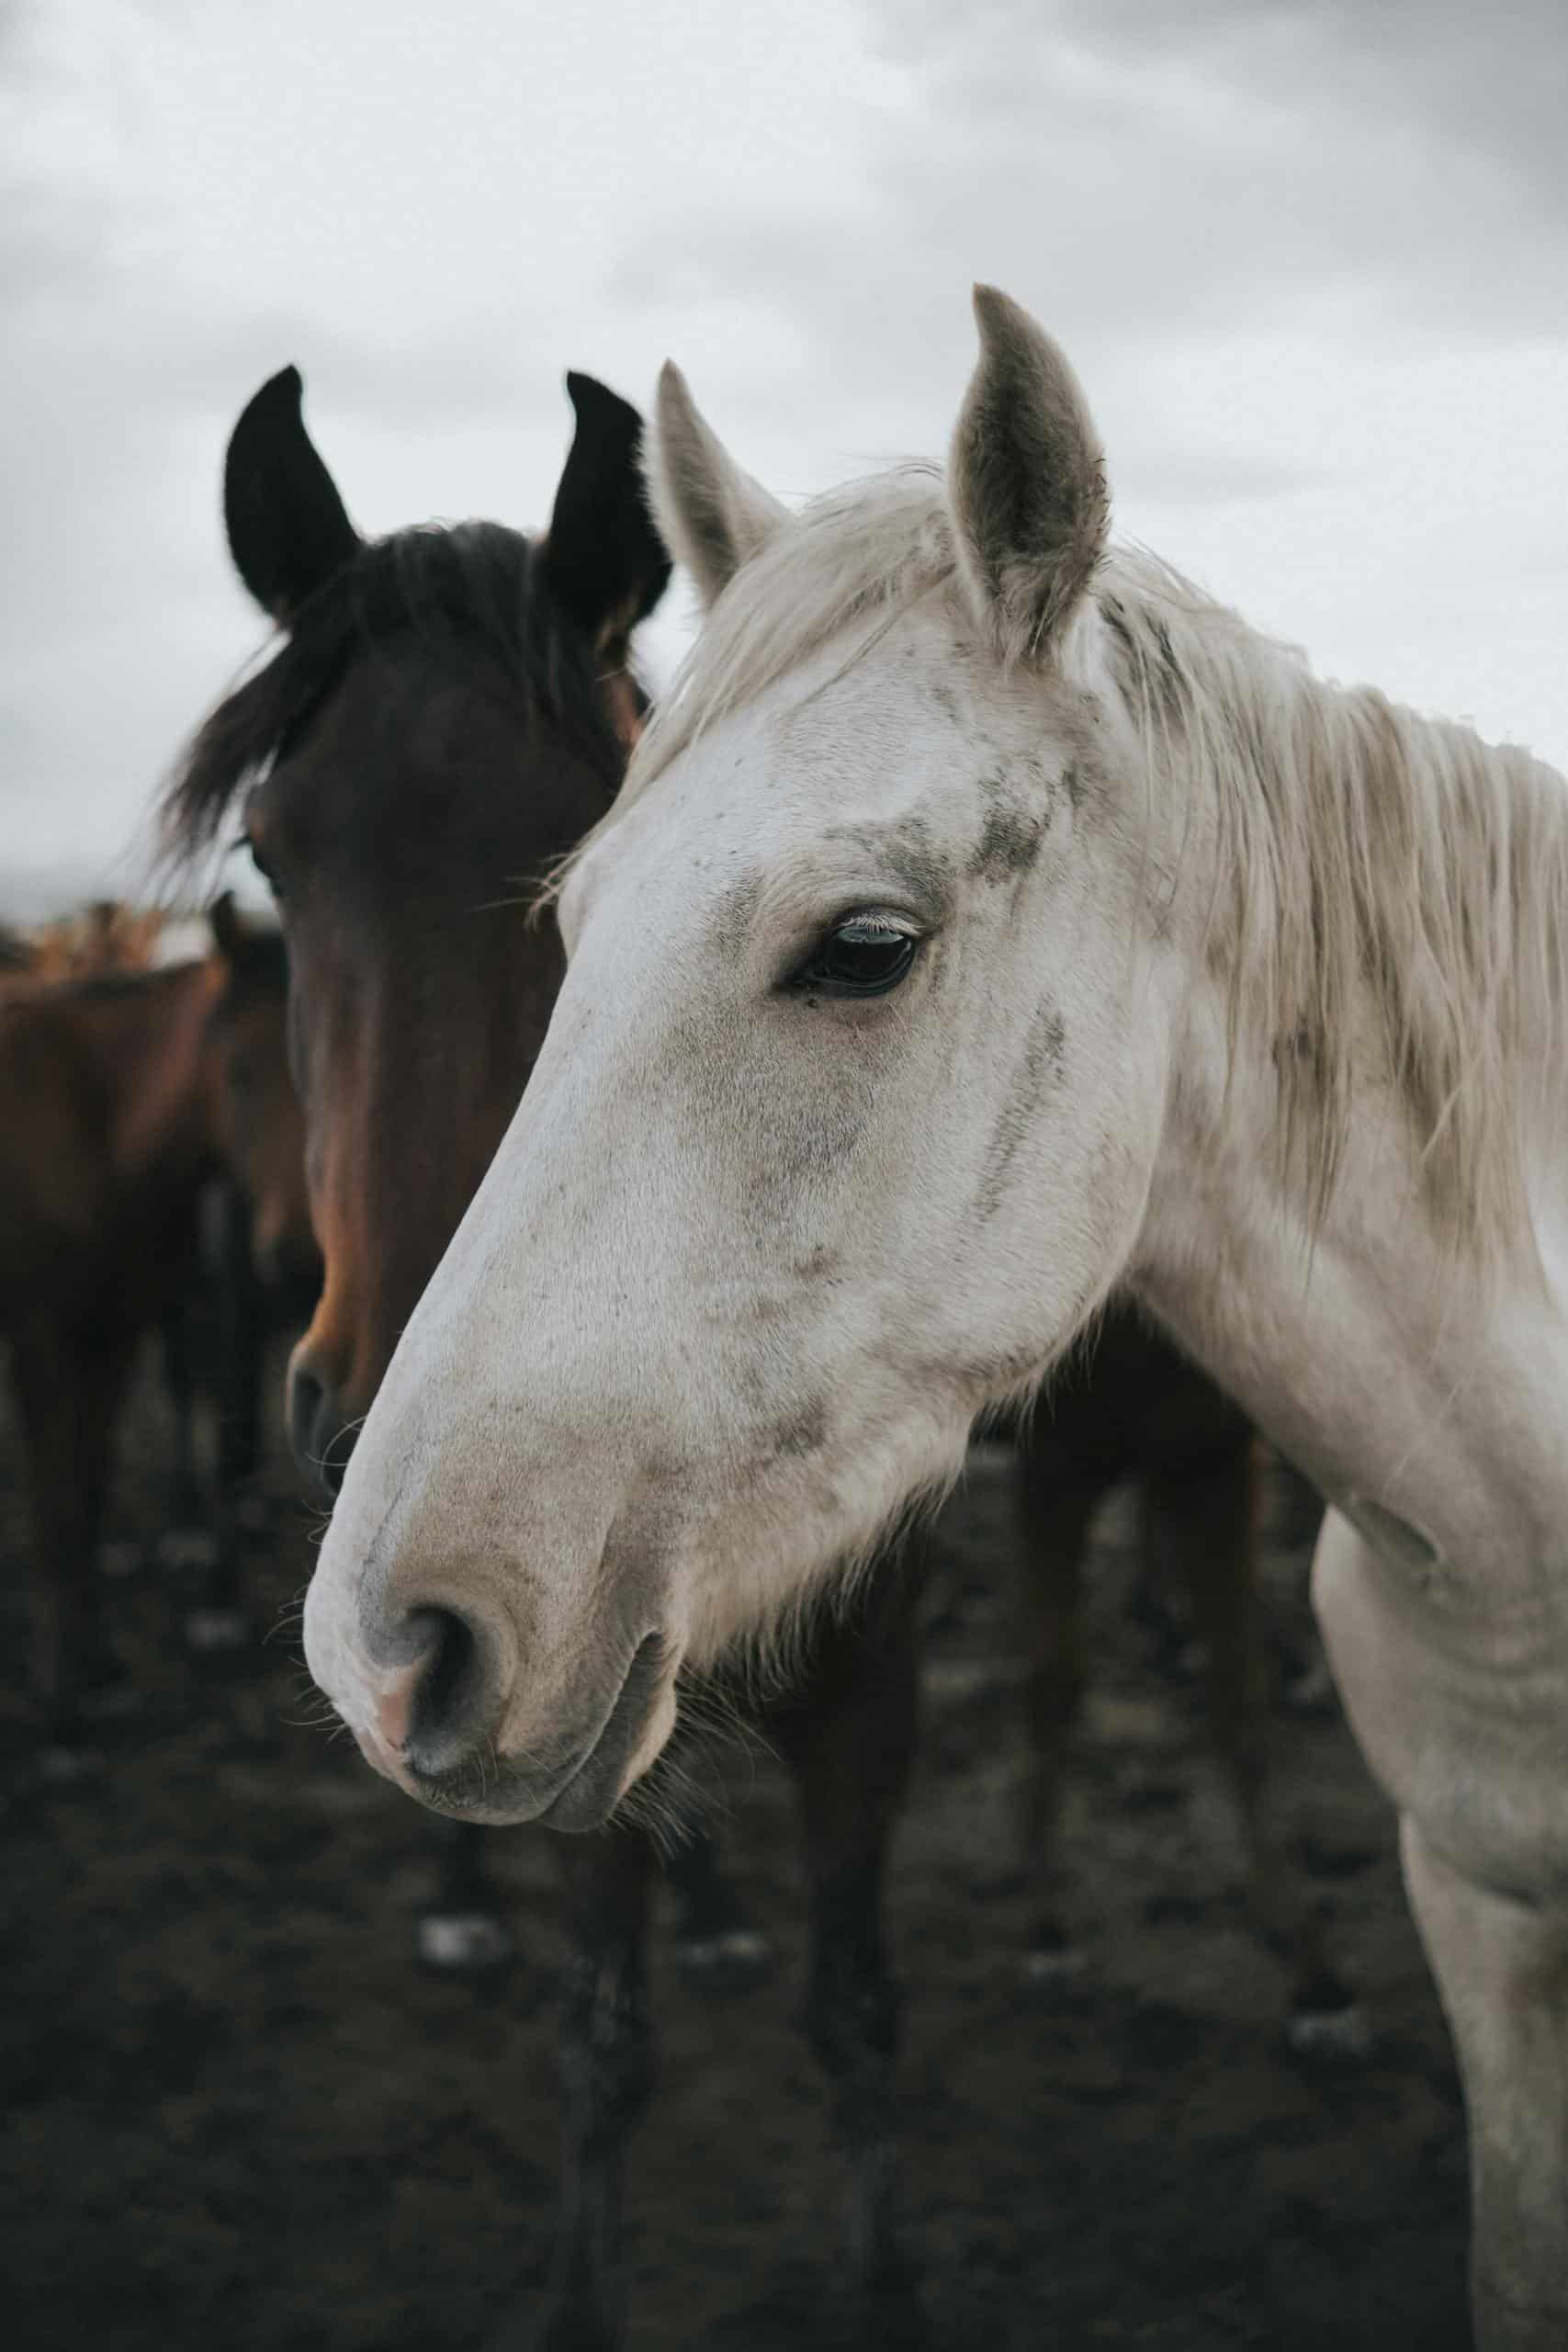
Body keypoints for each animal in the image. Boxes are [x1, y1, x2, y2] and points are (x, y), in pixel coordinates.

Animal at [0, 897, 308, 1742]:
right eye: (237, 1071)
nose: (300, 1257)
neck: (92, 1118)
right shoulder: (47, 1339)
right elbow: (59, 1508)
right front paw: (62, 1704)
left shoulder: (111, 1335)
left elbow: (88, 1491)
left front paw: (99, 1670)